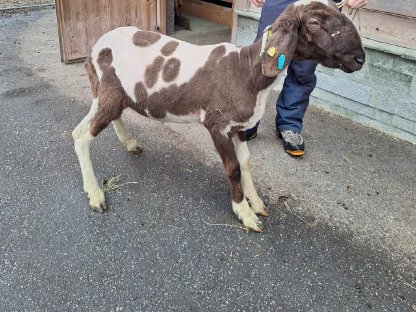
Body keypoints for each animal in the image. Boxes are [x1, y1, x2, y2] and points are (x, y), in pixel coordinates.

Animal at [73, 0, 366, 232]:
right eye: (314, 22)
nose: (359, 59)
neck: (247, 71)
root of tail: (96, 45)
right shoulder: (218, 124)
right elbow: (233, 168)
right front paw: (244, 213)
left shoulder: (239, 127)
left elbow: (246, 163)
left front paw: (256, 202)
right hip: (108, 90)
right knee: (80, 135)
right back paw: (95, 194)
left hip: (113, 93)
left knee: (109, 118)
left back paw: (130, 143)